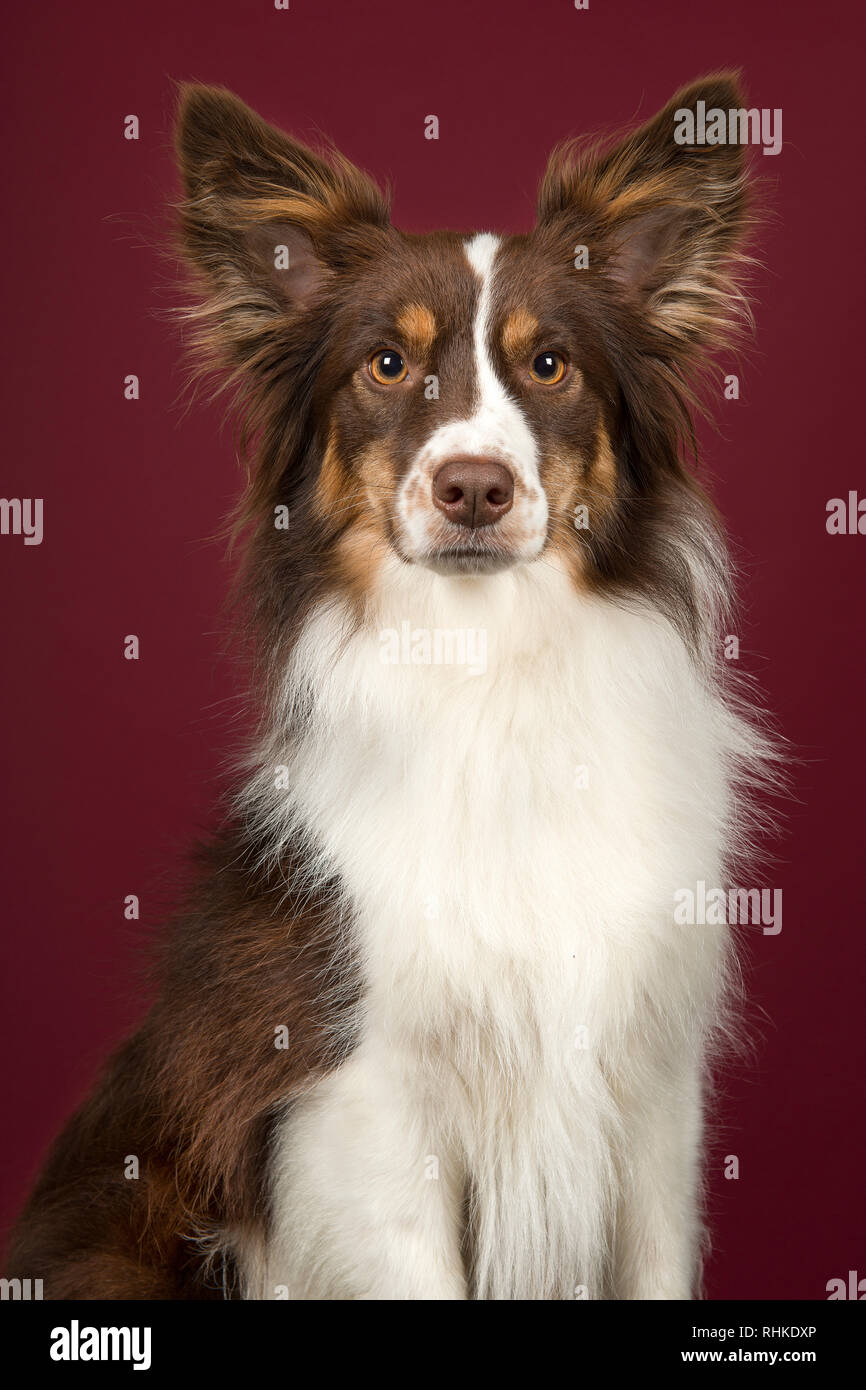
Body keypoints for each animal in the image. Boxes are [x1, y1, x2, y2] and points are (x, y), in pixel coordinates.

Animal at [10, 73, 778, 1289]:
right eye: (385, 363)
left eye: (549, 364)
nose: (472, 486)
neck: (488, 666)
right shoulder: (362, 1105)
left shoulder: (656, 1094)